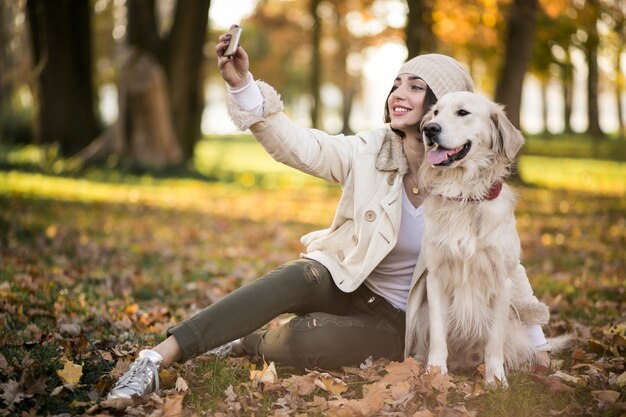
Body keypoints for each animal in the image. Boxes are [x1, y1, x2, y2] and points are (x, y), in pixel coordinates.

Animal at [416, 90, 548, 384]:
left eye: (463, 112)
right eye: (435, 113)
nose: (429, 129)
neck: (465, 195)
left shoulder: (502, 280)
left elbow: (494, 339)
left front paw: (495, 379)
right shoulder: (436, 276)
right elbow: (438, 333)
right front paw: (435, 373)